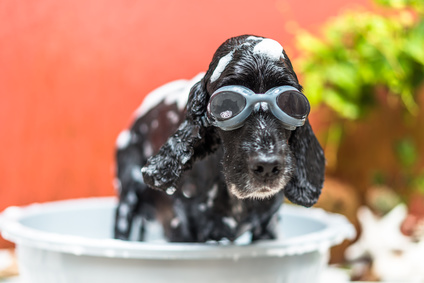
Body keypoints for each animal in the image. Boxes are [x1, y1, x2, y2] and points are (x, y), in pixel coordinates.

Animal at [112, 35, 324, 244]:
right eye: (226, 104)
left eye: (291, 103)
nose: (267, 166)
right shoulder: (183, 228)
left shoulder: (267, 227)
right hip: (127, 198)